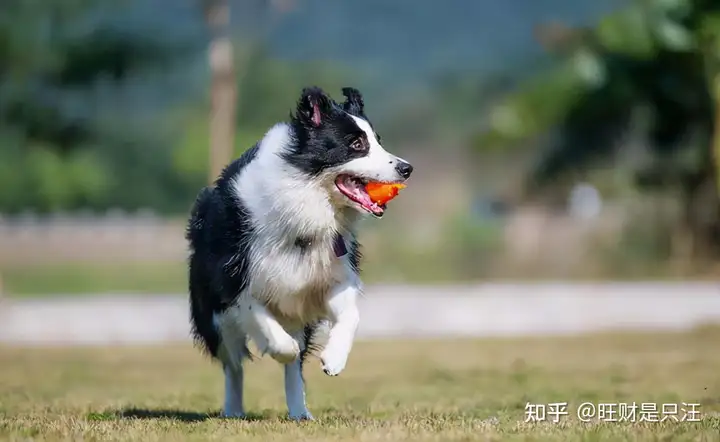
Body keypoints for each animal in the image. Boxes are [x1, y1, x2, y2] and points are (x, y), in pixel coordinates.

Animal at [186, 84, 414, 420]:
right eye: (356, 144)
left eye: (378, 141)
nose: (406, 168)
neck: (308, 201)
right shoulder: (236, 280)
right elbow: (263, 322)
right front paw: (281, 348)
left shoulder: (331, 275)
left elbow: (351, 315)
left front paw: (334, 359)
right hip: (212, 315)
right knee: (233, 363)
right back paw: (234, 409)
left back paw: (299, 411)